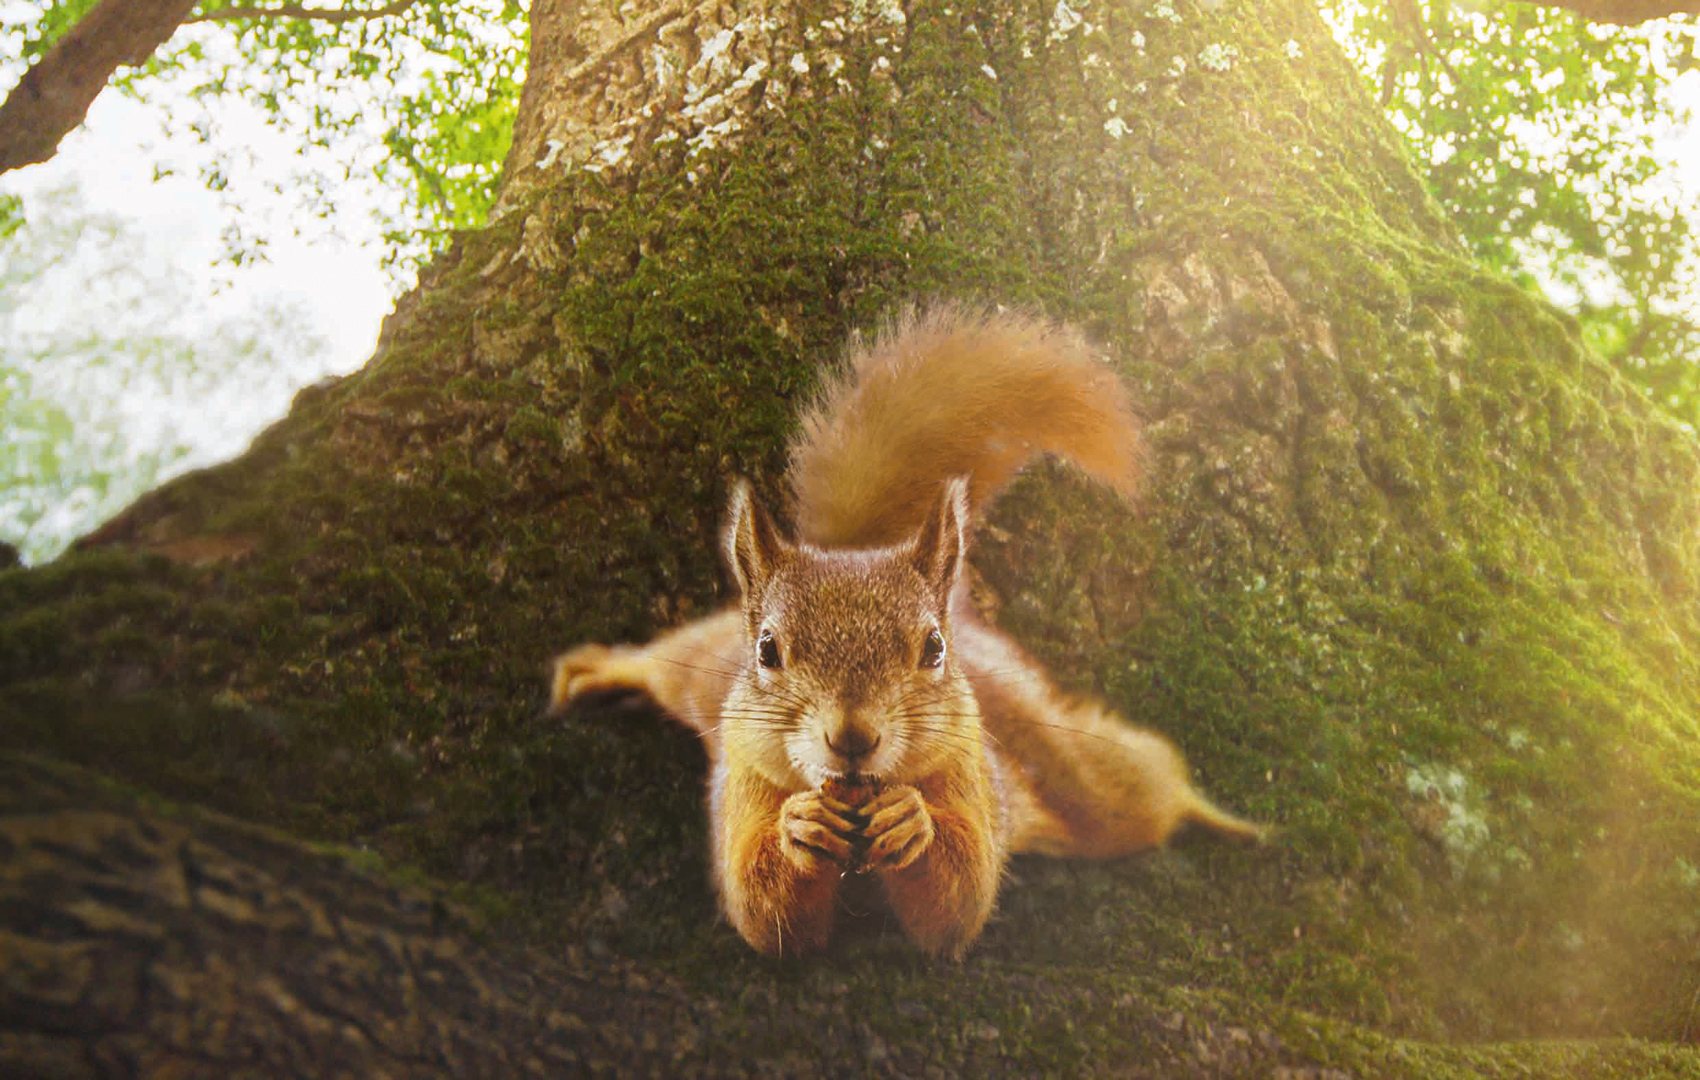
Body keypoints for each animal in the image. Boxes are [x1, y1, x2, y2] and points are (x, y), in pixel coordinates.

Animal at [547, 299, 1264, 959]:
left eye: (932, 648)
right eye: (769, 650)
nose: (852, 738)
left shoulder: (970, 768)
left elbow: (959, 902)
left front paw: (913, 822)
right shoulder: (744, 781)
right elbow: (765, 914)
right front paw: (797, 826)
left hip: (1066, 769)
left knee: (1133, 786)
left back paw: (1223, 817)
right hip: (701, 672)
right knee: (665, 660)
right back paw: (601, 667)